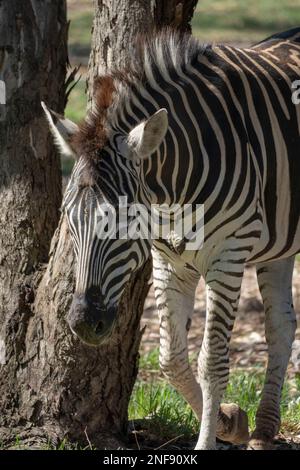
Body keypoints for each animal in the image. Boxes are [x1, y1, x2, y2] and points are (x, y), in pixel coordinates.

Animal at [42, 26, 300, 452]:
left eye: (125, 217)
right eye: (68, 218)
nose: (83, 323)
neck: (173, 197)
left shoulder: (228, 256)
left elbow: (211, 361)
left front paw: (208, 439)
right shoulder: (169, 262)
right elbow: (171, 360)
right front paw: (230, 421)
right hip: (276, 245)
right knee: (281, 325)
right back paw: (263, 429)